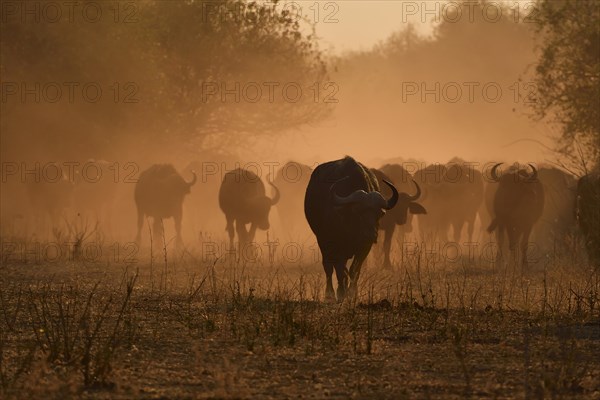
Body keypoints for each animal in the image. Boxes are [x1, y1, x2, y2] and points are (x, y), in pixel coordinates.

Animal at [308, 156, 400, 300]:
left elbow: (354, 270)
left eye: (379, 213)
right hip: (322, 240)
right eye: (357, 211)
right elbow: (339, 269)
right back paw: (329, 294)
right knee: (328, 266)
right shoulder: (335, 244)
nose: (370, 235)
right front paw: (341, 292)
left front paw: (352, 293)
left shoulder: (364, 247)